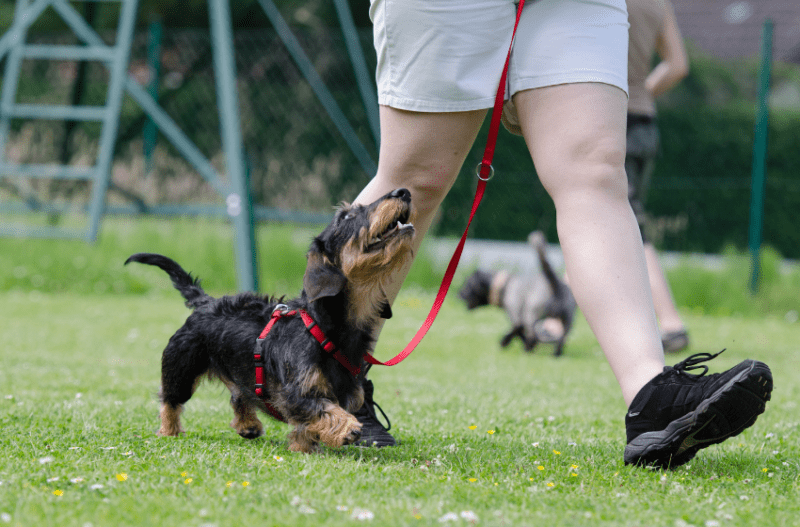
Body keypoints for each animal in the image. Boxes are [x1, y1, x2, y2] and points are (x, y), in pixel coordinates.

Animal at [126, 189, 412, 454]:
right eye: (346, 216)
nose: (403, 192)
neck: (323, 327)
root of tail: (205, 301)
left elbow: (308, 424)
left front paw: (303, 446)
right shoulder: (296, 393)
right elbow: (323, 409)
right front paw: (347, 427)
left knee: (239, 395)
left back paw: (248, 425)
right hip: (181, 369)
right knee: (170, 400)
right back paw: (169, 430)